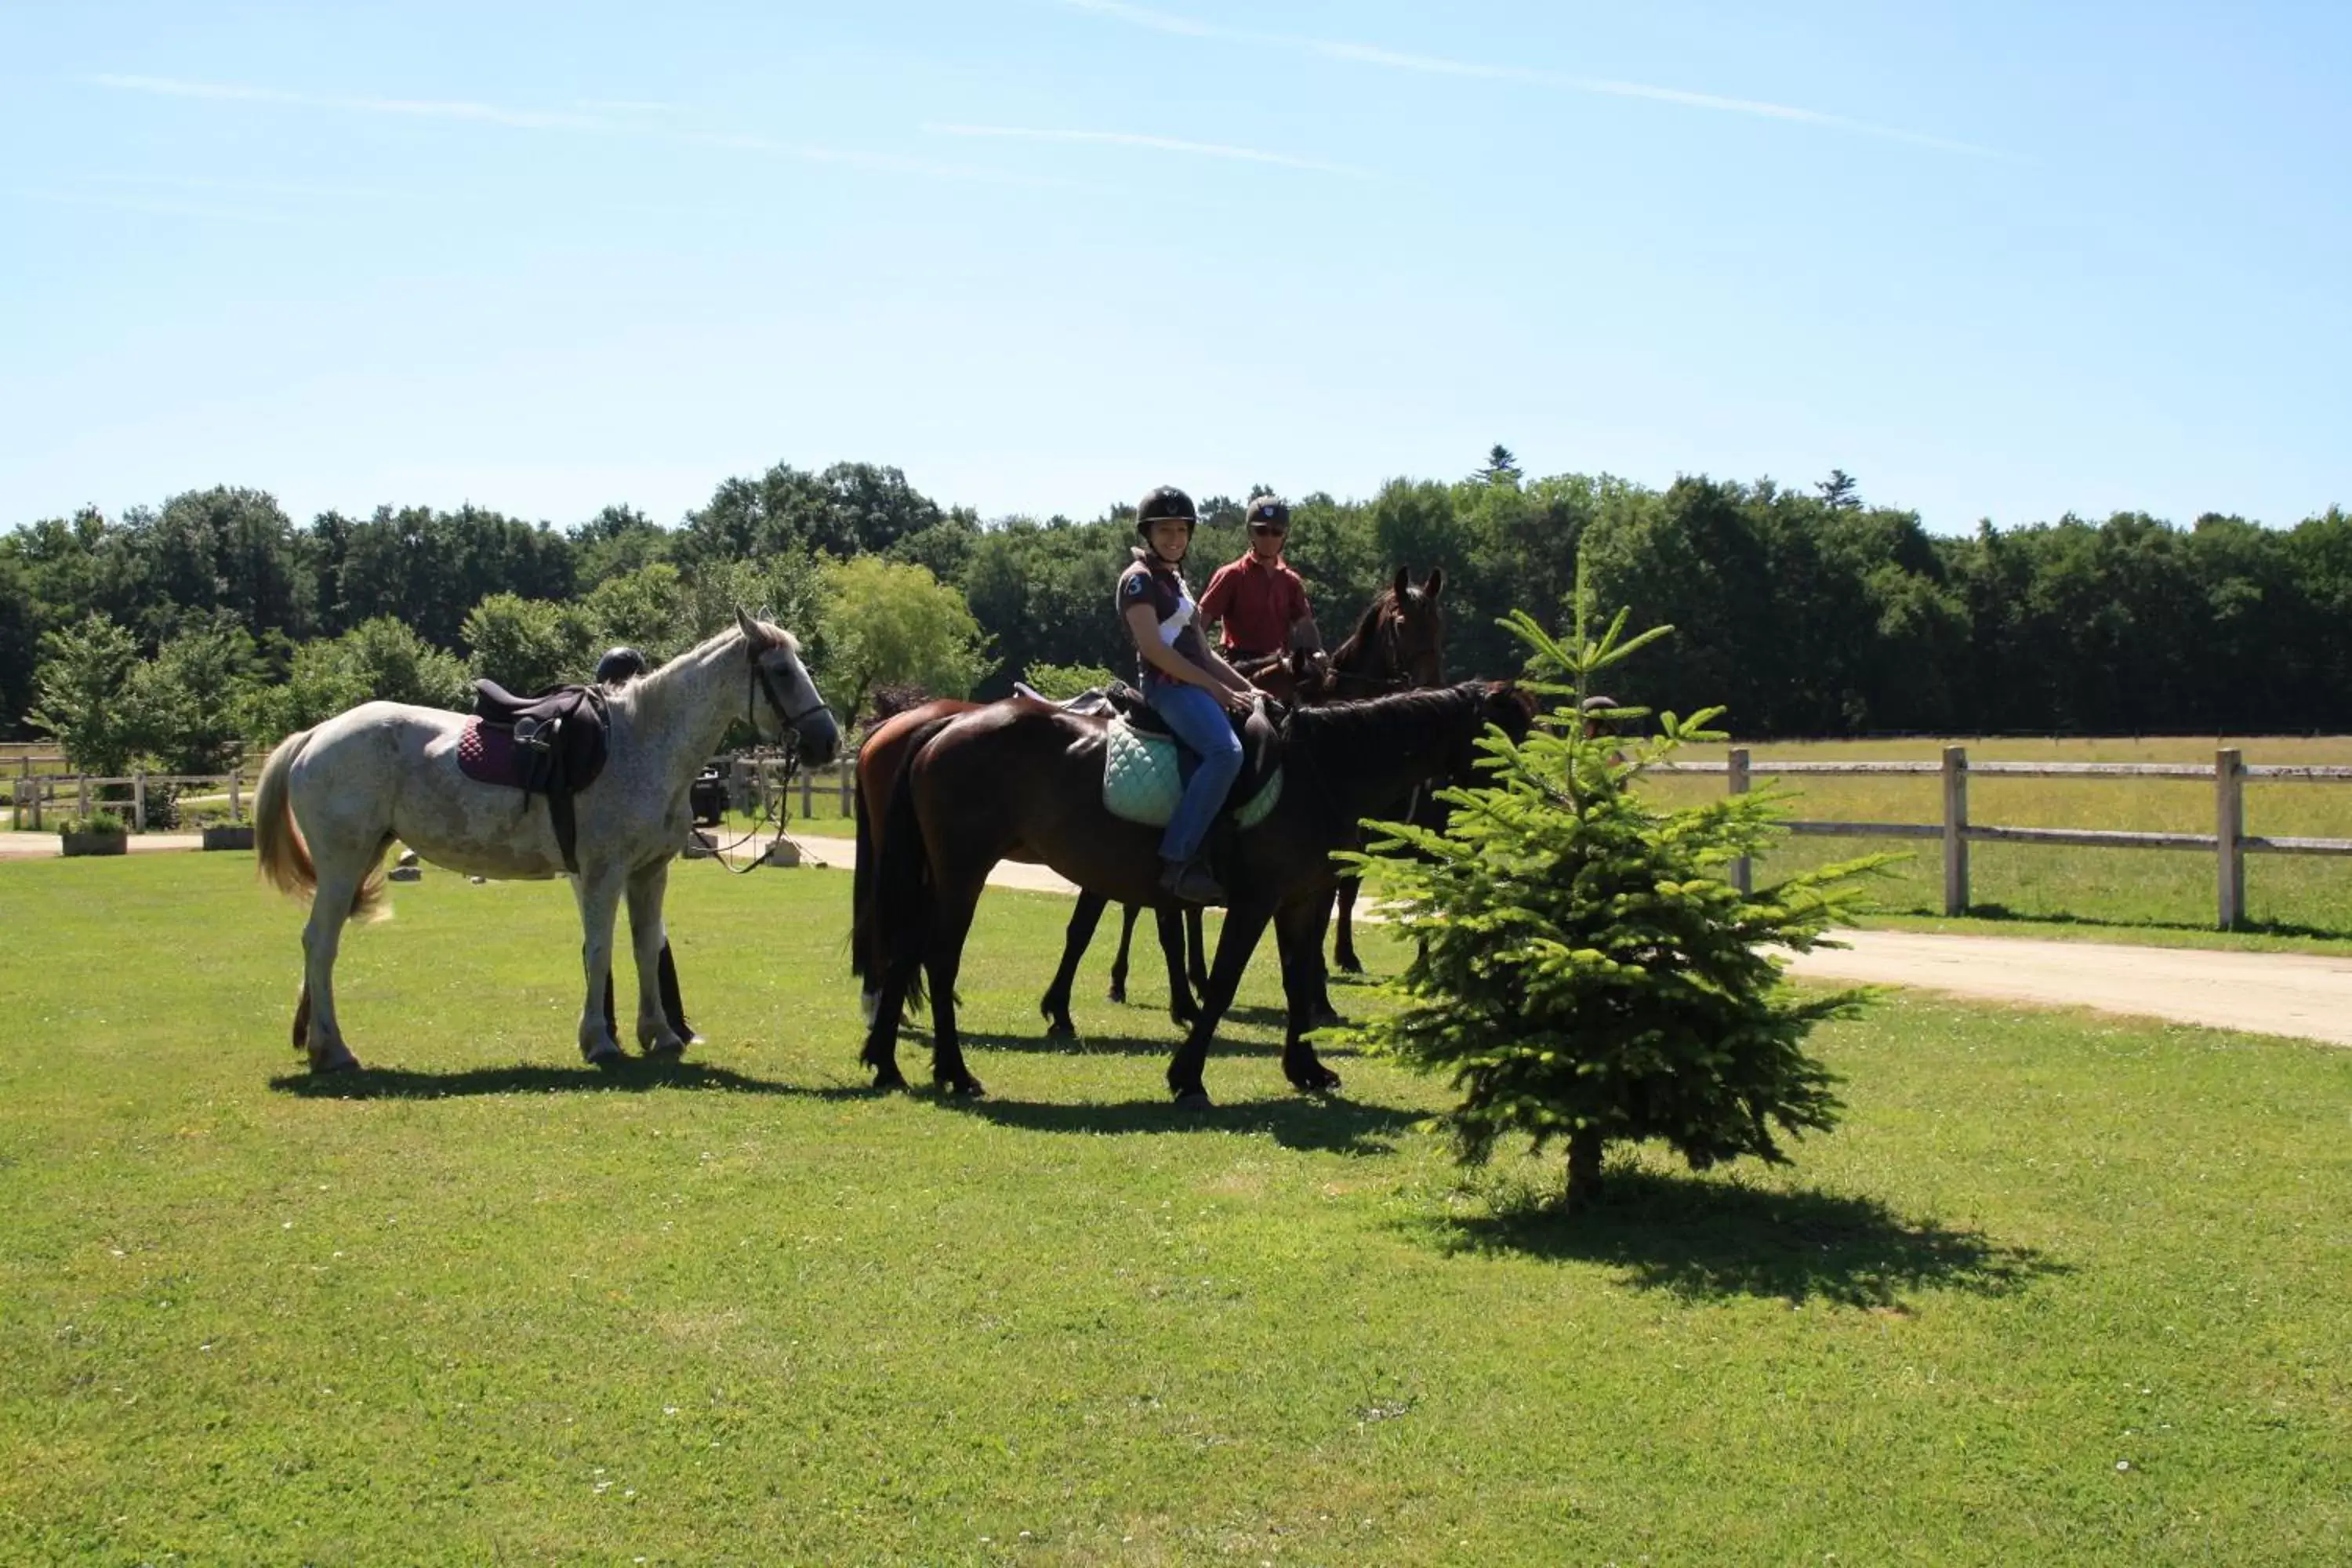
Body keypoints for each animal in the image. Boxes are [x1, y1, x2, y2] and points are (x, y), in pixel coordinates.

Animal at [247, 606, 833, 1072]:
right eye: (781, 671)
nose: (827, 741)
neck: (641, 742)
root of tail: (316, 735)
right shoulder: (602, 874)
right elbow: (599, 950)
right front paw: (599, 1041)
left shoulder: (649, 873)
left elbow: (646, 948)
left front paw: (660, 1034)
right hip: (343, 863)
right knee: (320, 944)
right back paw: (333, 1050)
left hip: (363, 857)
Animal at [856, 681, 1534, 1109]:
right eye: (1506, 732)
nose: (1536, 803)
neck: (1319, 771)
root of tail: (945, 722)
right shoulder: (1257, 901)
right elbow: (1226, 983)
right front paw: (1188, 1076)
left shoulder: (1301, 901)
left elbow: (1298, 981)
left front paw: (1307, 1069)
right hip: (963, 871)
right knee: (939, 960)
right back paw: (954, 1071)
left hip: (939, 876)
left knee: (908, 952)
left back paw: (887, 1063)